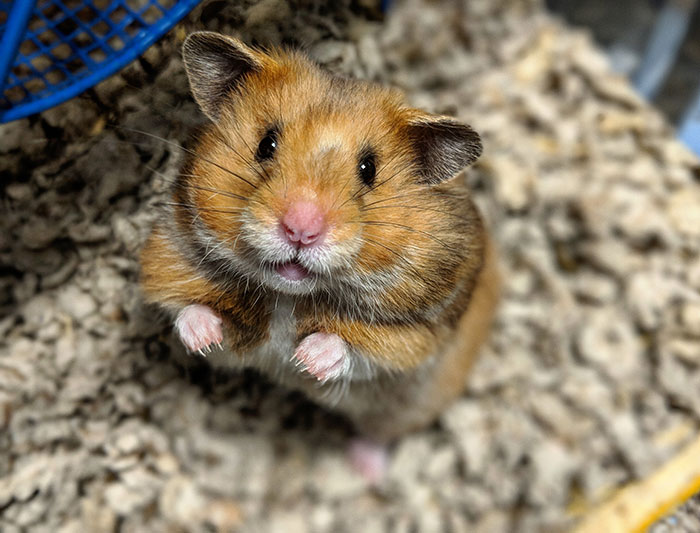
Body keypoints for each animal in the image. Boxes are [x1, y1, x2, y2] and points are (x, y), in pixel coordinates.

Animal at [140, 32, 500, 450]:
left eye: (369, 169)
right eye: (266, 144)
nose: (301, 230)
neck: (287, 295)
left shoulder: (412, 340)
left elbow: (352, 350)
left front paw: (305, 360)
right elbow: (189, 310)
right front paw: (203, 338)